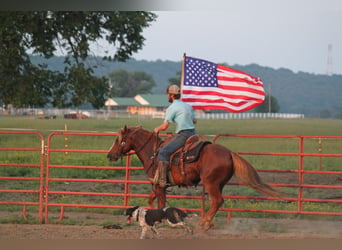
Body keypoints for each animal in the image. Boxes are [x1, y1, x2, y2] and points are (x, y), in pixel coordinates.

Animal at [107, 126, 284, 229]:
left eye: (118, 139)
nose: (110, 155)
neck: (153, 152)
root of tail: (229, 153)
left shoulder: (159, 185)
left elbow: (161, 202)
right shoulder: (157, 185)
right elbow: (152, 200)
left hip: (211, 183)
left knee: (217, 201)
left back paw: (204, 223)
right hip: (219, 184)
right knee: (216, 202)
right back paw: (209, 223)